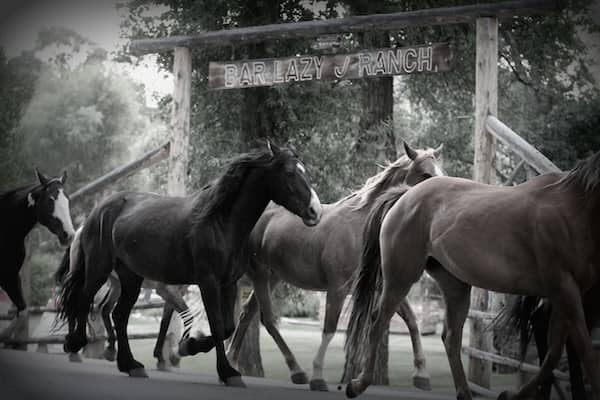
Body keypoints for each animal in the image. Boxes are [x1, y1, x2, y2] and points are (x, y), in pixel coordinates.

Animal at [56, 142, 322, 386]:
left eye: (305, 171)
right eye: (289, 172)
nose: (315, 211)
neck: (220, 221)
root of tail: (98, 211)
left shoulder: (228, 283)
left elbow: (227, 326)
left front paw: (189, 346)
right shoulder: (208, 281)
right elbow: (216, 324)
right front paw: (225, 371)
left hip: (130, 277)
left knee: (119, 315)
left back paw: (130, 364)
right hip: (99, 268)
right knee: (84, 300)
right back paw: (75, 343)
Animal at [227, 141, 442, 390]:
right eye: (426, 174)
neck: (360, 227)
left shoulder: (383, 288)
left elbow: (412, 322)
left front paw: (422, 374)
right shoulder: (337, 289)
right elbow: (329, 329)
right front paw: (318, 376)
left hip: (272, 277)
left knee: (247, 315)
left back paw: (234, 363)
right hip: (260, 275)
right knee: (268, 320)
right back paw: (297, 371)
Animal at [344, 150, 600, 400]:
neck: (570, 208)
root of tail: (405, 196)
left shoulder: (568, 293)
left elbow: (556, 352)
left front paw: (512, 394)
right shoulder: (564, 288)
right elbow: (583, 350)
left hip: (455, 286)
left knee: (450, 337)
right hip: (401, 277)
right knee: (377, 321)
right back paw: (357, 384)